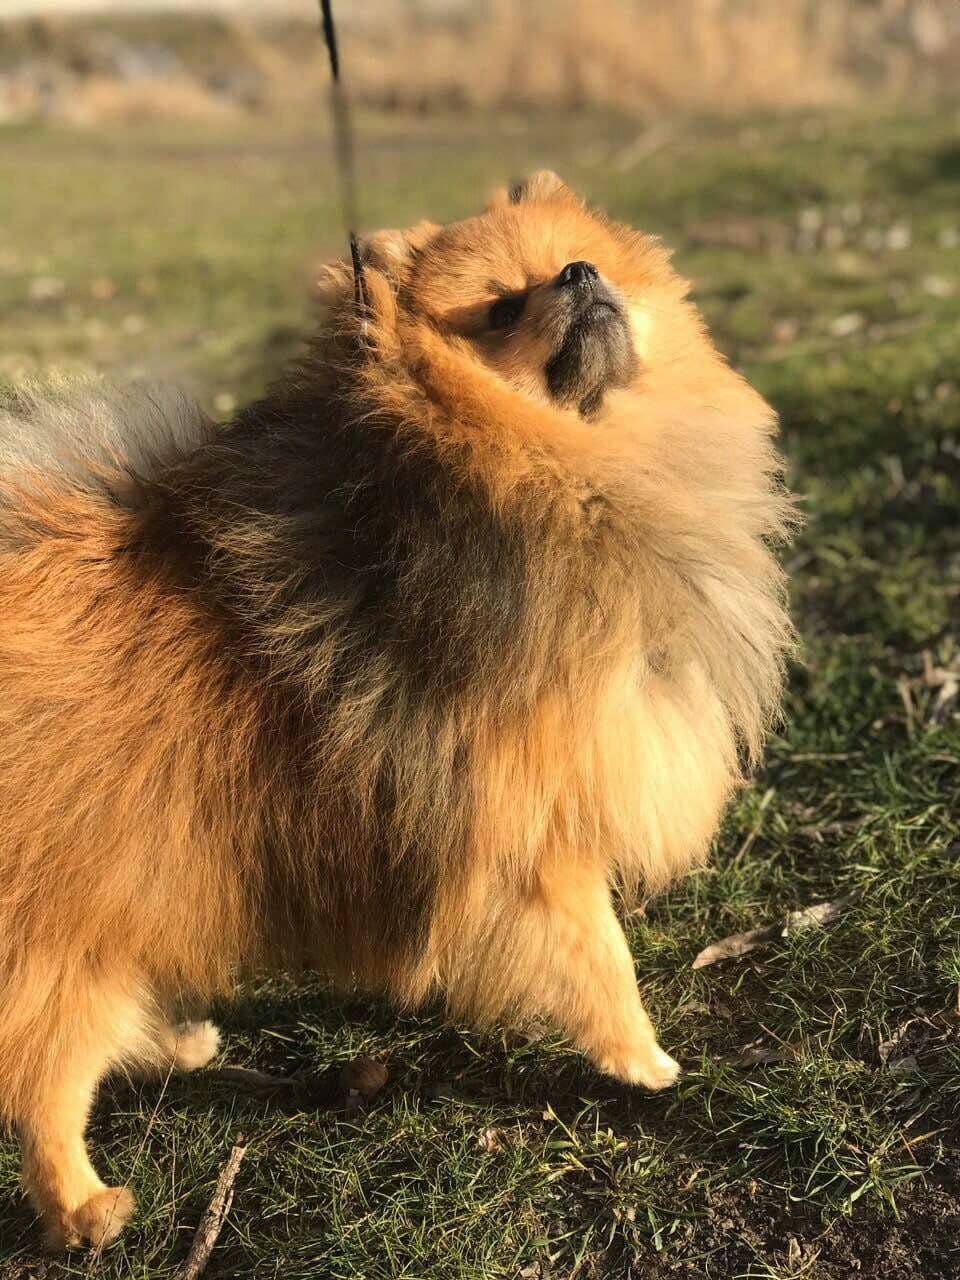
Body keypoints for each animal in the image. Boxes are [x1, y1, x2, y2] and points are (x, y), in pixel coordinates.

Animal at [0, 172, 793, 1249]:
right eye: (500, 307)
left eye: (581, 261)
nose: (580, 274)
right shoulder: (533, 834)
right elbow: (601, 956)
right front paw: (642, 1060)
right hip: (67, 912)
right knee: (46, 1069)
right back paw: (85, 1205)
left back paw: (178, 1043)